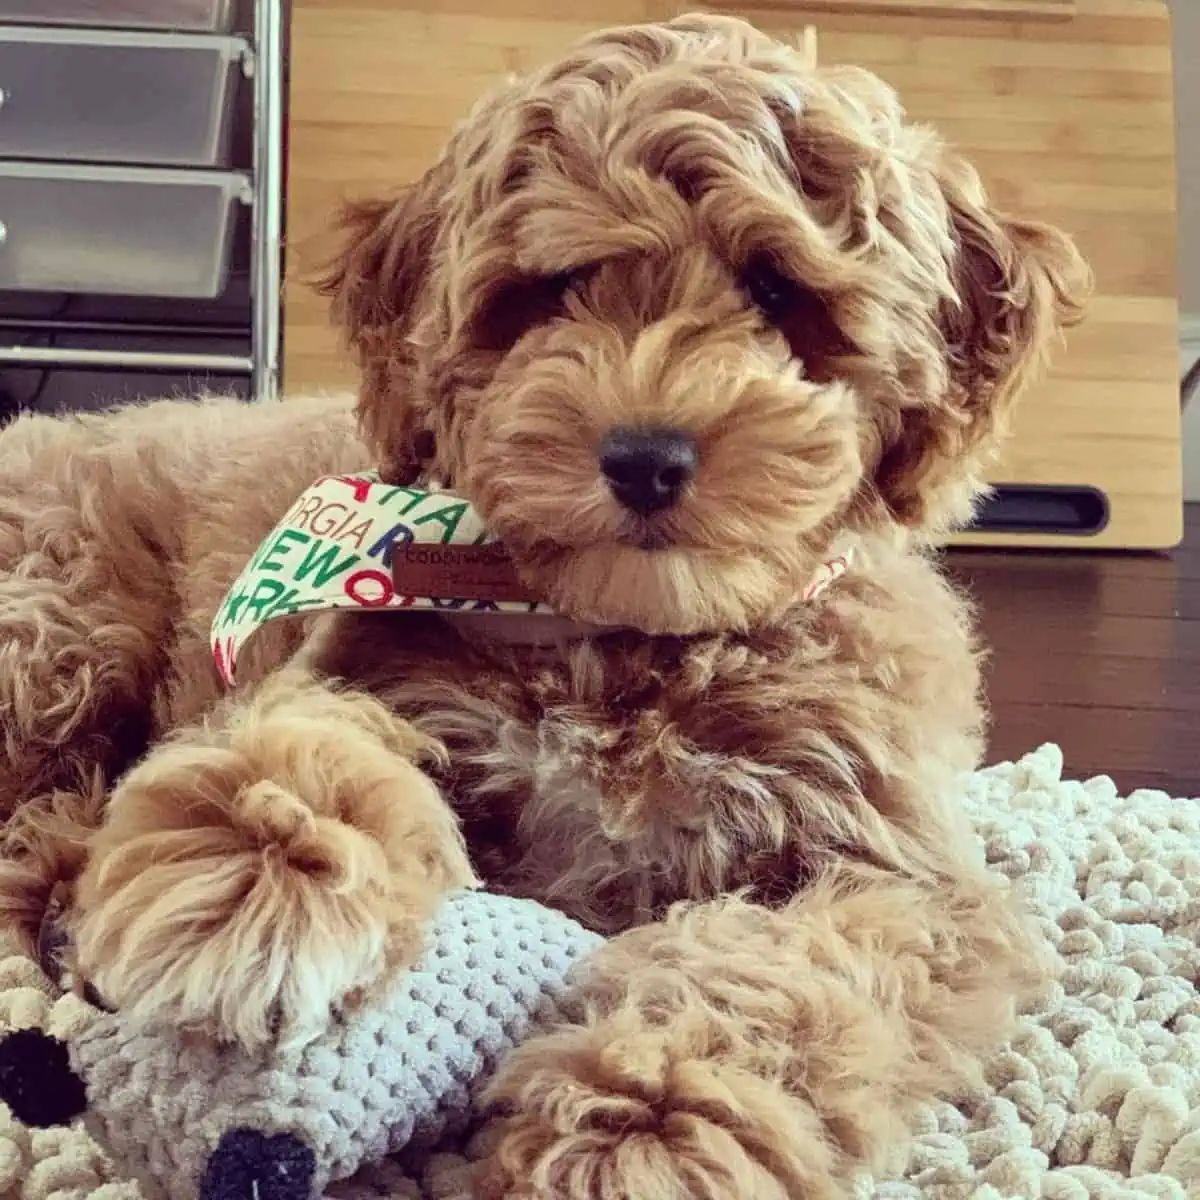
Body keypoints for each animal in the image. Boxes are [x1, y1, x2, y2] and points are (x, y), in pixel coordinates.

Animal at [0, 11, 1089, 1200]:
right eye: (552, 292)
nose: (646, 457)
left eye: (774, 291)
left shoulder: (900, 877)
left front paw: (646, 1123)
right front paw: (257, 869)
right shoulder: (363, 661)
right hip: (55, 626)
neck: (633, 639)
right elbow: (300, 739)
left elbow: (790, 970)